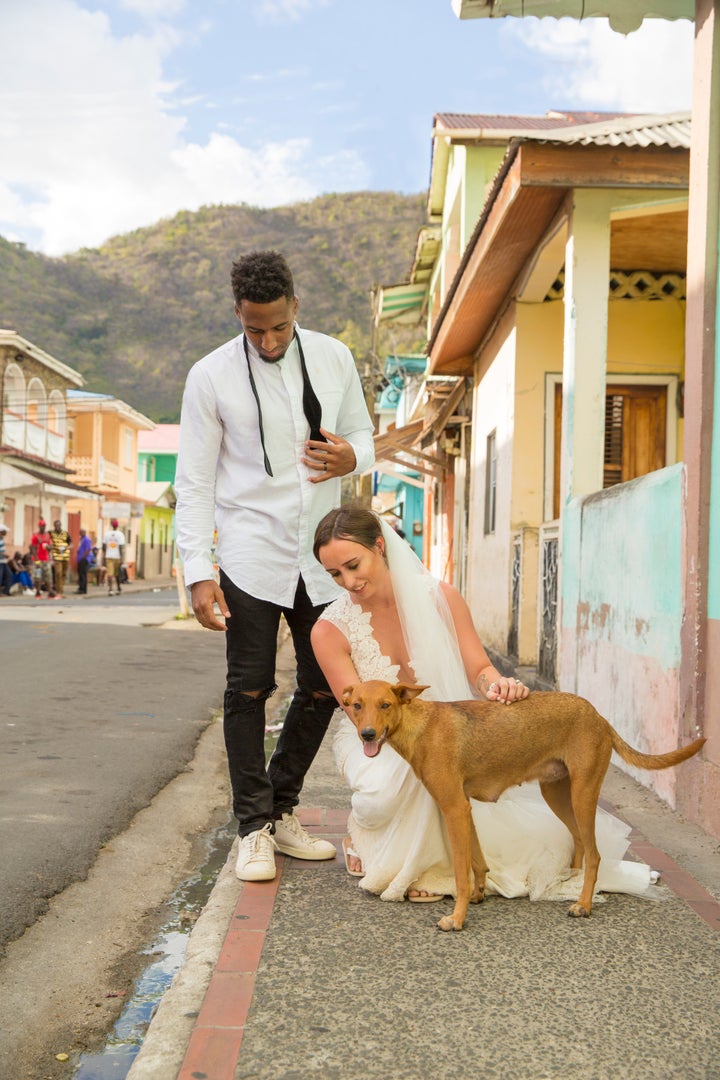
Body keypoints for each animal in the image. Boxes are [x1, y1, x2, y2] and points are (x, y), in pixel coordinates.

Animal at [343, 682, 703, 928]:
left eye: (386, 704)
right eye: (357, 705)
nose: (367, 734)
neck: (420, 726)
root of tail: (599, 716)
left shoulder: (454, 808)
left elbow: (460, 872)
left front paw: (457, 918)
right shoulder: (464, 809)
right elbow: (477, 861)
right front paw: (479, 893)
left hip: (583, 794)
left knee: (596, 853)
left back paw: (583, 903)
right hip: (557, 794)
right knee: (579, 843)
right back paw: (566, 882)